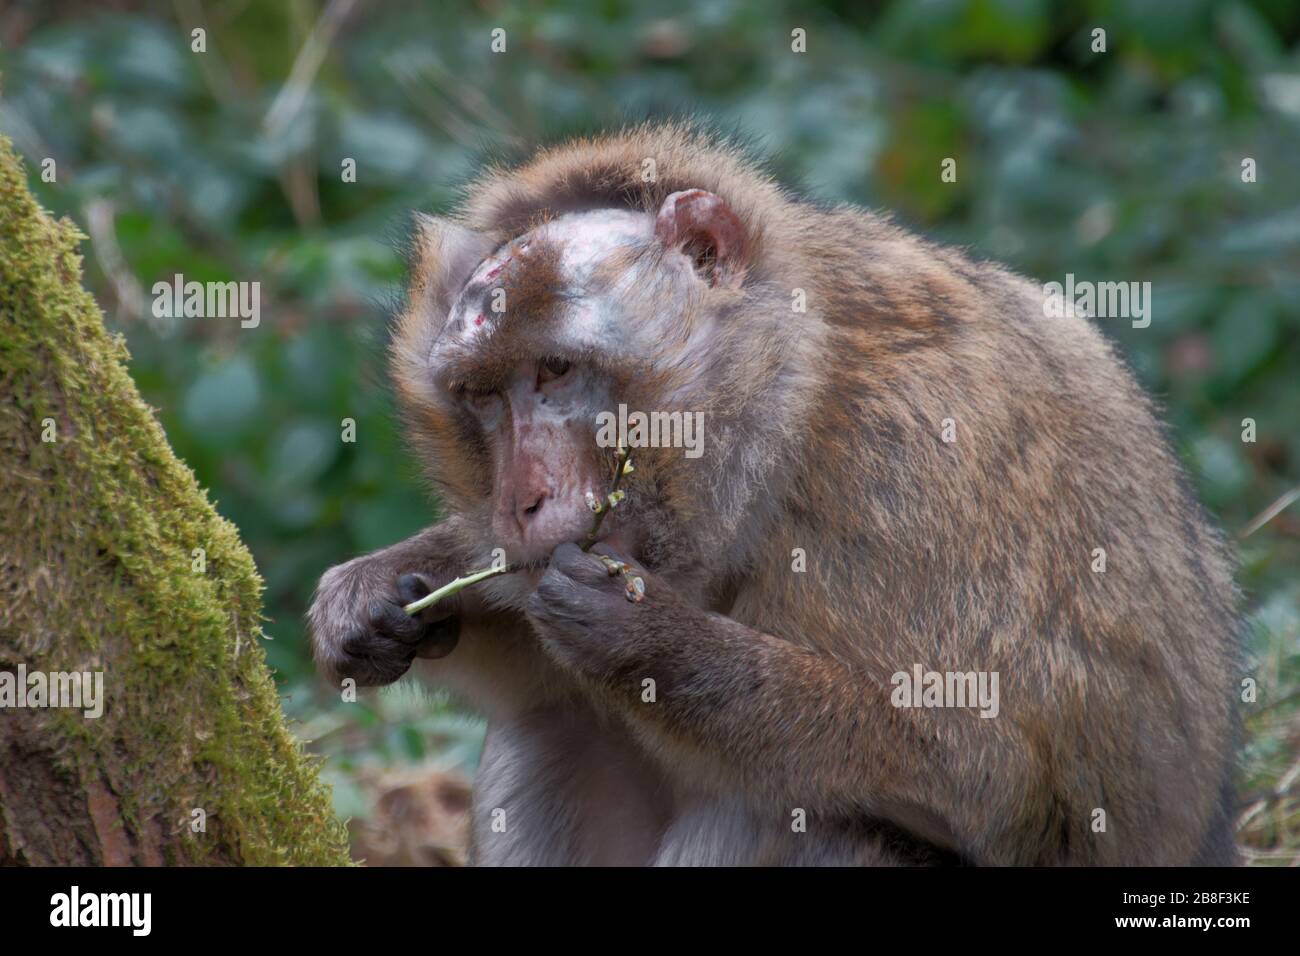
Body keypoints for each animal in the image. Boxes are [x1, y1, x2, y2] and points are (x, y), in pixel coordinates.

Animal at [308, 122, 1241, 866]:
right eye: (482, 397)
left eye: (557, 371)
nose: (519, 502)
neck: (792, 404)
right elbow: (539, 660)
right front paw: (385, 587)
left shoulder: (909, 463)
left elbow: (1001, 782)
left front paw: (653, 642)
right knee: (555, 727)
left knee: (799, 814)